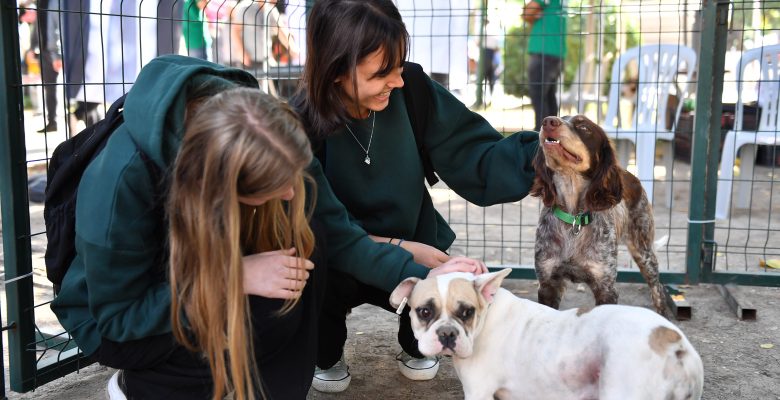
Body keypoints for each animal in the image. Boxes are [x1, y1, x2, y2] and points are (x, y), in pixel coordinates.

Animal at [532, 114, 668, 314]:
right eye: (560, 117)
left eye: (584, 127)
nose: (548, 121)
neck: (574, 219)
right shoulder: (548, 284)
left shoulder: (606, 287)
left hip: (644, 252)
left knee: (658, 289)